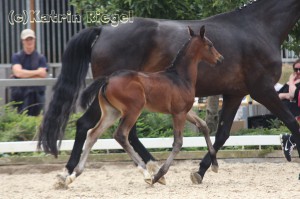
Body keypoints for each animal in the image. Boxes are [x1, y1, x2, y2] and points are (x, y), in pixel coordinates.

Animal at [63, 26, 223, 187]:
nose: (220, 58)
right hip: (133, 110)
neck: (180, 77)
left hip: (111, 112)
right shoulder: (179, 113)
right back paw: (146, 173)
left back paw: (74, 174)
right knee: (121, 135)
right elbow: (178, 142)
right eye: (210, 45)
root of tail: (108, 79)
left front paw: (215, 165)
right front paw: (158, 175)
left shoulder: (186, 111)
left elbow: (203, 126)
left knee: (93, 134)